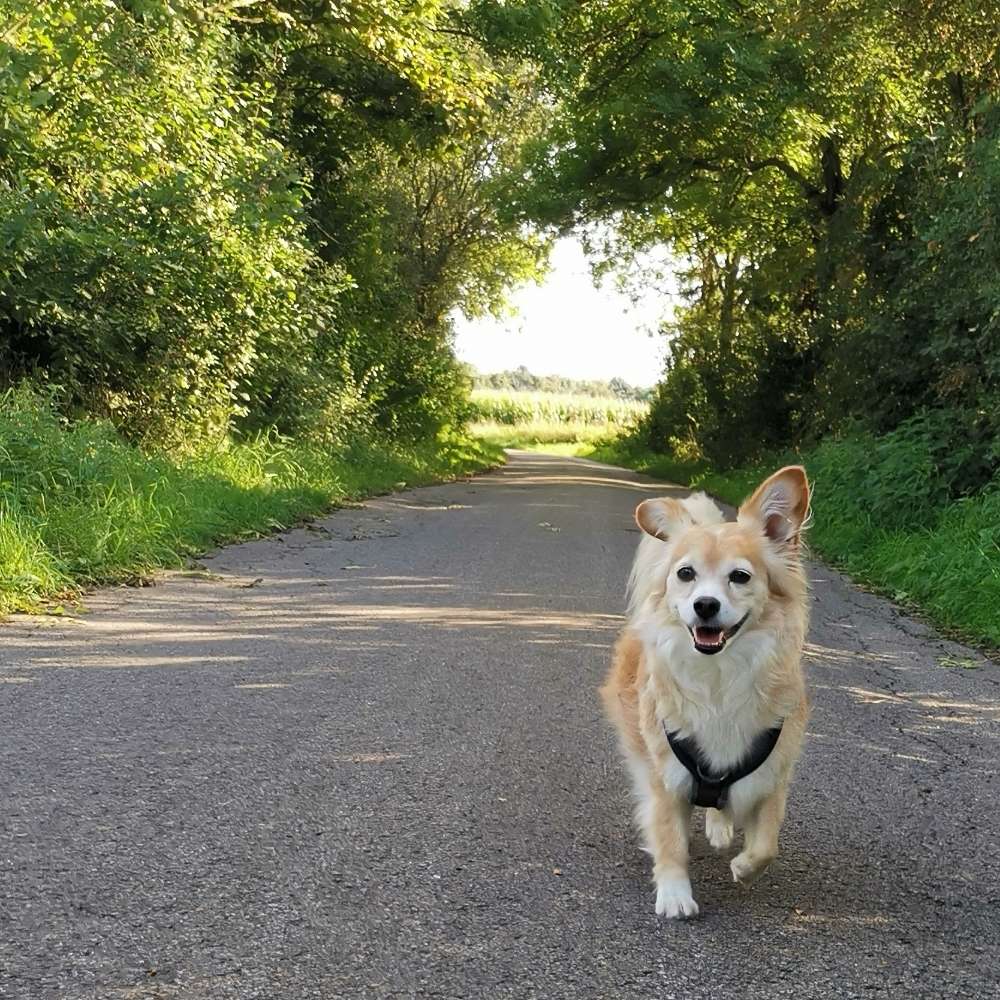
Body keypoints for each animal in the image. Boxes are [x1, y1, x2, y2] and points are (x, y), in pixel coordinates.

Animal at [596, 464, 808, 916]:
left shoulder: (771, 774)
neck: (718, 676)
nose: (705, 605)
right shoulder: (665, 777)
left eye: (740, 577)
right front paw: (675, 893)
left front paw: (744, 867)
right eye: (685, 574)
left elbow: (767, 845)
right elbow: (670, 839)